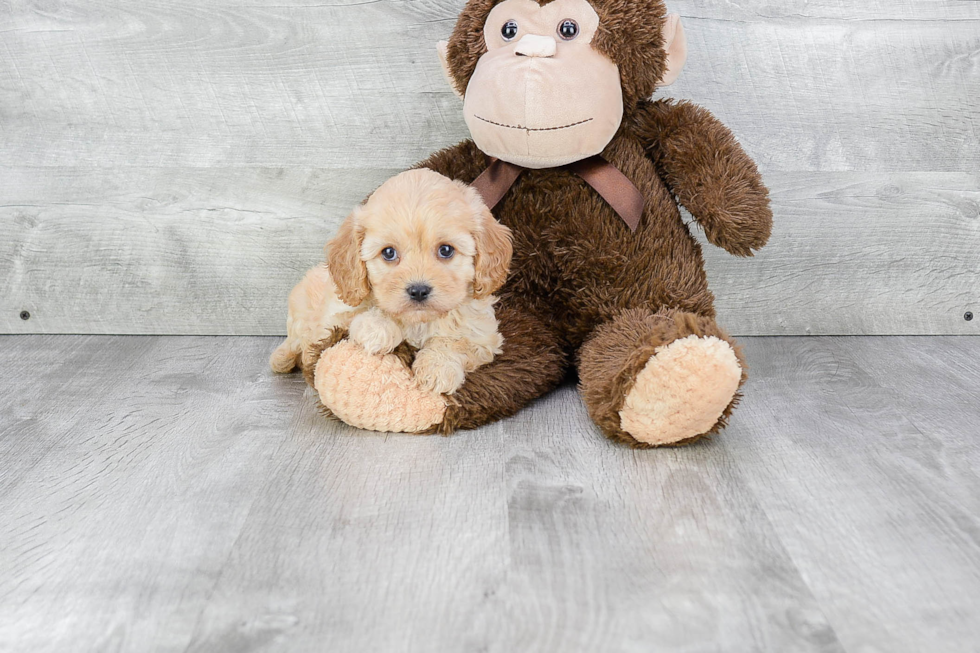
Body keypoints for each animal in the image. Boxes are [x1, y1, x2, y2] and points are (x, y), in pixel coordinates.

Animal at [268, 167, 512, 392]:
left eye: (446, 250)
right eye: (388, 253)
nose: (418, 290)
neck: (417, 322)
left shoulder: (482, 335)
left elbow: (455, 342)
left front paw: (437, 369)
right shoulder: (335, 313)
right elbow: (356, 315)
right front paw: (378, 328)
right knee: (295, 340)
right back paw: (282, 358)